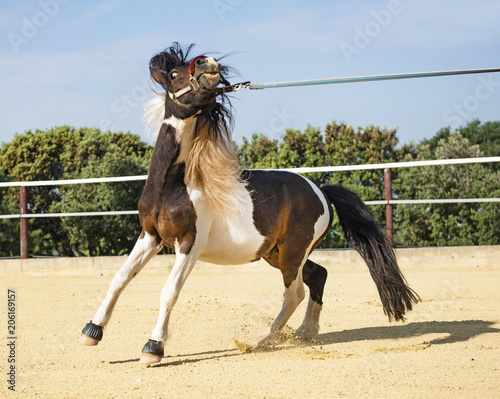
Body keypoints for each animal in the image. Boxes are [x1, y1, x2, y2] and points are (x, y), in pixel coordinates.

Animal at [78, 43, 420, 366]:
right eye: (174, 73)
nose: (207, 63)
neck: (173, 187)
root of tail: (320, 192)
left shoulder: (189, 243)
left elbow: (169, 291)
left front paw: (153, 347)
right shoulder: (150, 236)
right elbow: (120, 279)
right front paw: (91, 331)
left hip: (292, 253)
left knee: (294, 293)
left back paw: (263, 340)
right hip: (277, 253)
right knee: (318, 275)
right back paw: (304, 332)